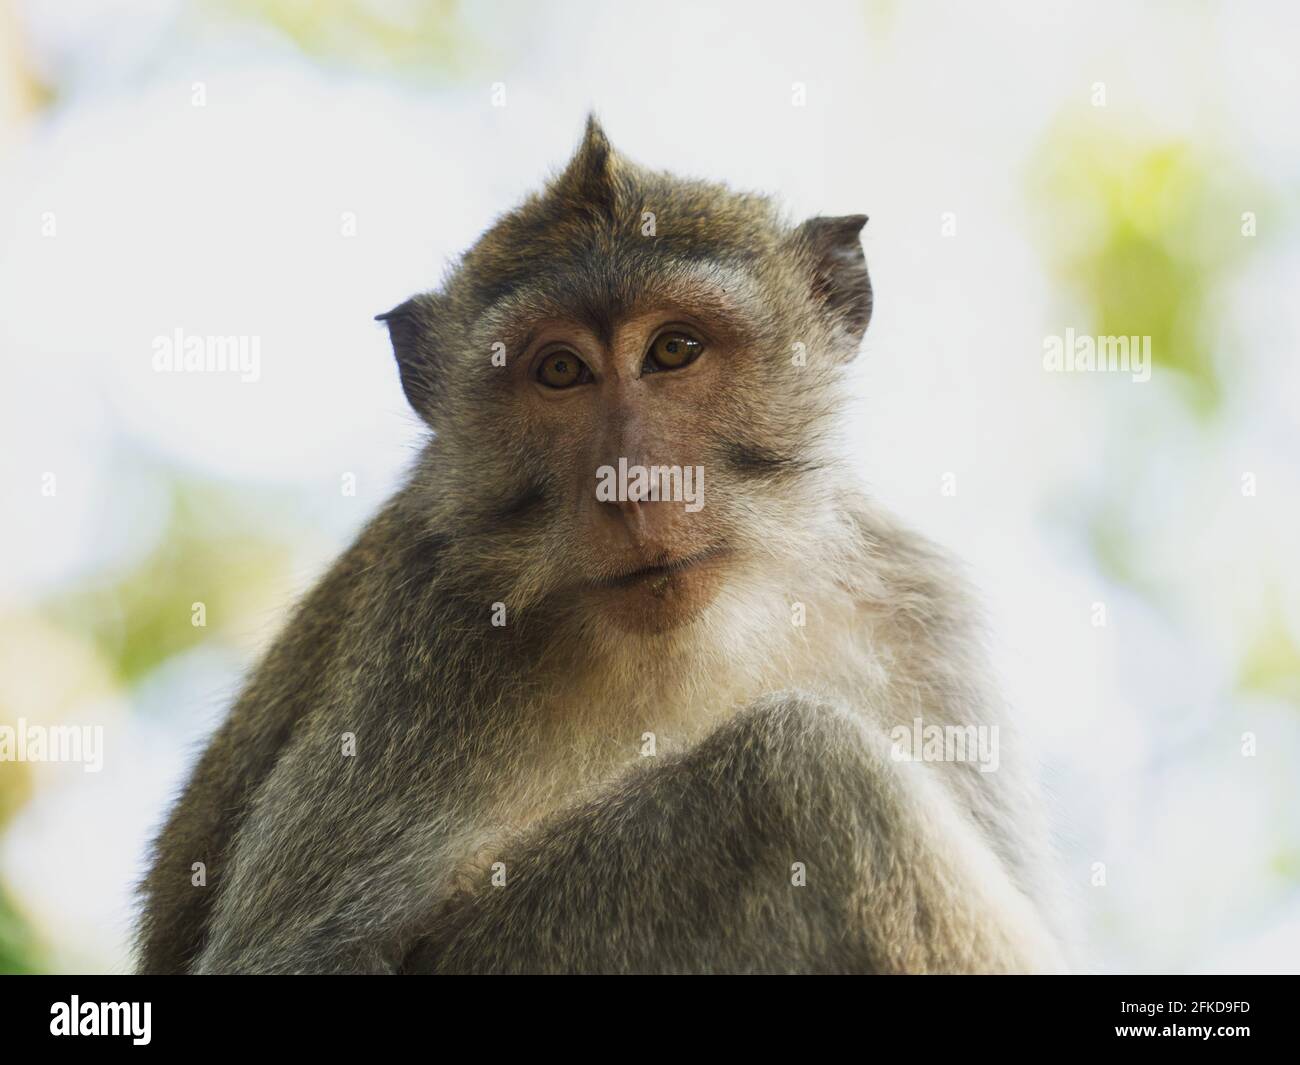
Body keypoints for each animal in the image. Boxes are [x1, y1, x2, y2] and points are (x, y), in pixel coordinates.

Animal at [134, 116, 1066, 972]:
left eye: (674, 349)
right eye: (560, 370)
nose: (632, 487)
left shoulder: (914, 613)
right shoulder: (425, 642)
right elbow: (298, 955)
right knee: (804, 764)